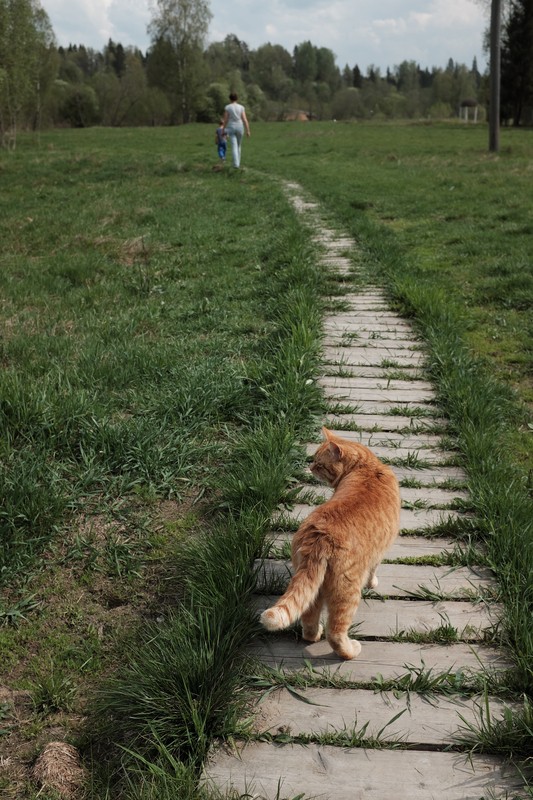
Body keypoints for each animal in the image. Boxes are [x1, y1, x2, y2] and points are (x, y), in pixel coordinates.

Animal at [260, 428, 402, 660]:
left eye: (319, 463)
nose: (310, 467)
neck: (367, 467)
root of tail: (321, 538)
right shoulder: (379, 552)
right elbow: (374, 569)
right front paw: (373, 583)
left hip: (314, 587)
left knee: (308, 618)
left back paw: (313, 634)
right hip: (347, 593)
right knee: (335, 632)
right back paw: (350, 651)